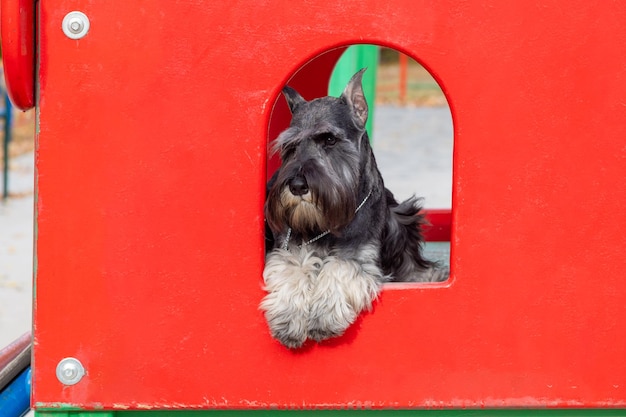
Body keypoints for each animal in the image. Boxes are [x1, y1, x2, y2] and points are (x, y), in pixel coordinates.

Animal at [260, 69, 446, 348]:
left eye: (329, 139)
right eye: (289, 147)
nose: (297, 185)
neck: (327, 225)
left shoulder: (360, 255)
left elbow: (340, 266)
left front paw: (324, 314)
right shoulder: (287, 248)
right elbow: (293, 266)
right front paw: (289, 316)